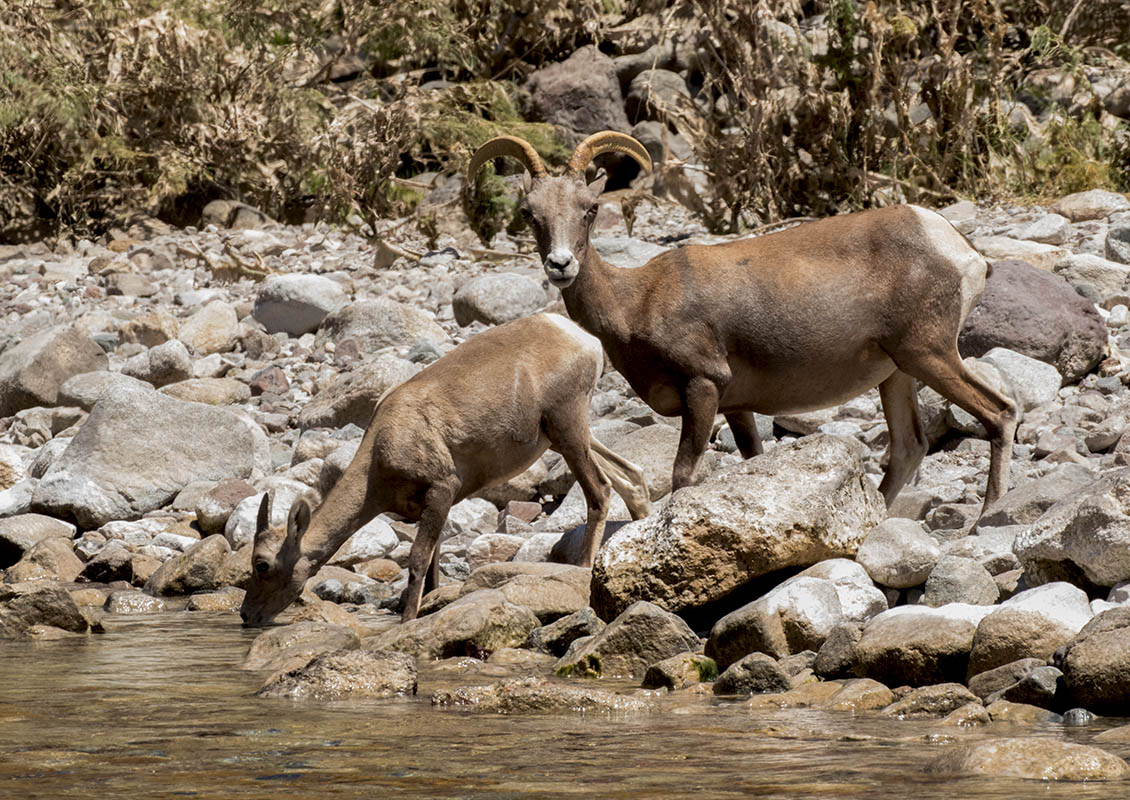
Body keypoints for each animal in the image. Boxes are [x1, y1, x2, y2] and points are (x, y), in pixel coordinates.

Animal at [238, 311, 650, 623]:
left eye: (262, 564)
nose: (246, 615)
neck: (378, 460)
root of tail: (585, 340)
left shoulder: (442, 485)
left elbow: (418, 559)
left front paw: (406, 621)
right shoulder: (432, 503)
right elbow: (434, 563)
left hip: (567, 423)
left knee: (600, 489)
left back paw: (584, 568)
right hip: (564, 435)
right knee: (631, 474)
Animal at [472, 132, 1021, 512]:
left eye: (588, 210)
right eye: (531, 213)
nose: (560, 265)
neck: (636, 302)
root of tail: (959, 249)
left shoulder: (703, 387)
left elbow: (683, 475)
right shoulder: (737, 407)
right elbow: (754, 464)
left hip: (928, 354)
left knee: (999, 414)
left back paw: (989, 514)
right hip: (898, 374)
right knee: (910, 448)